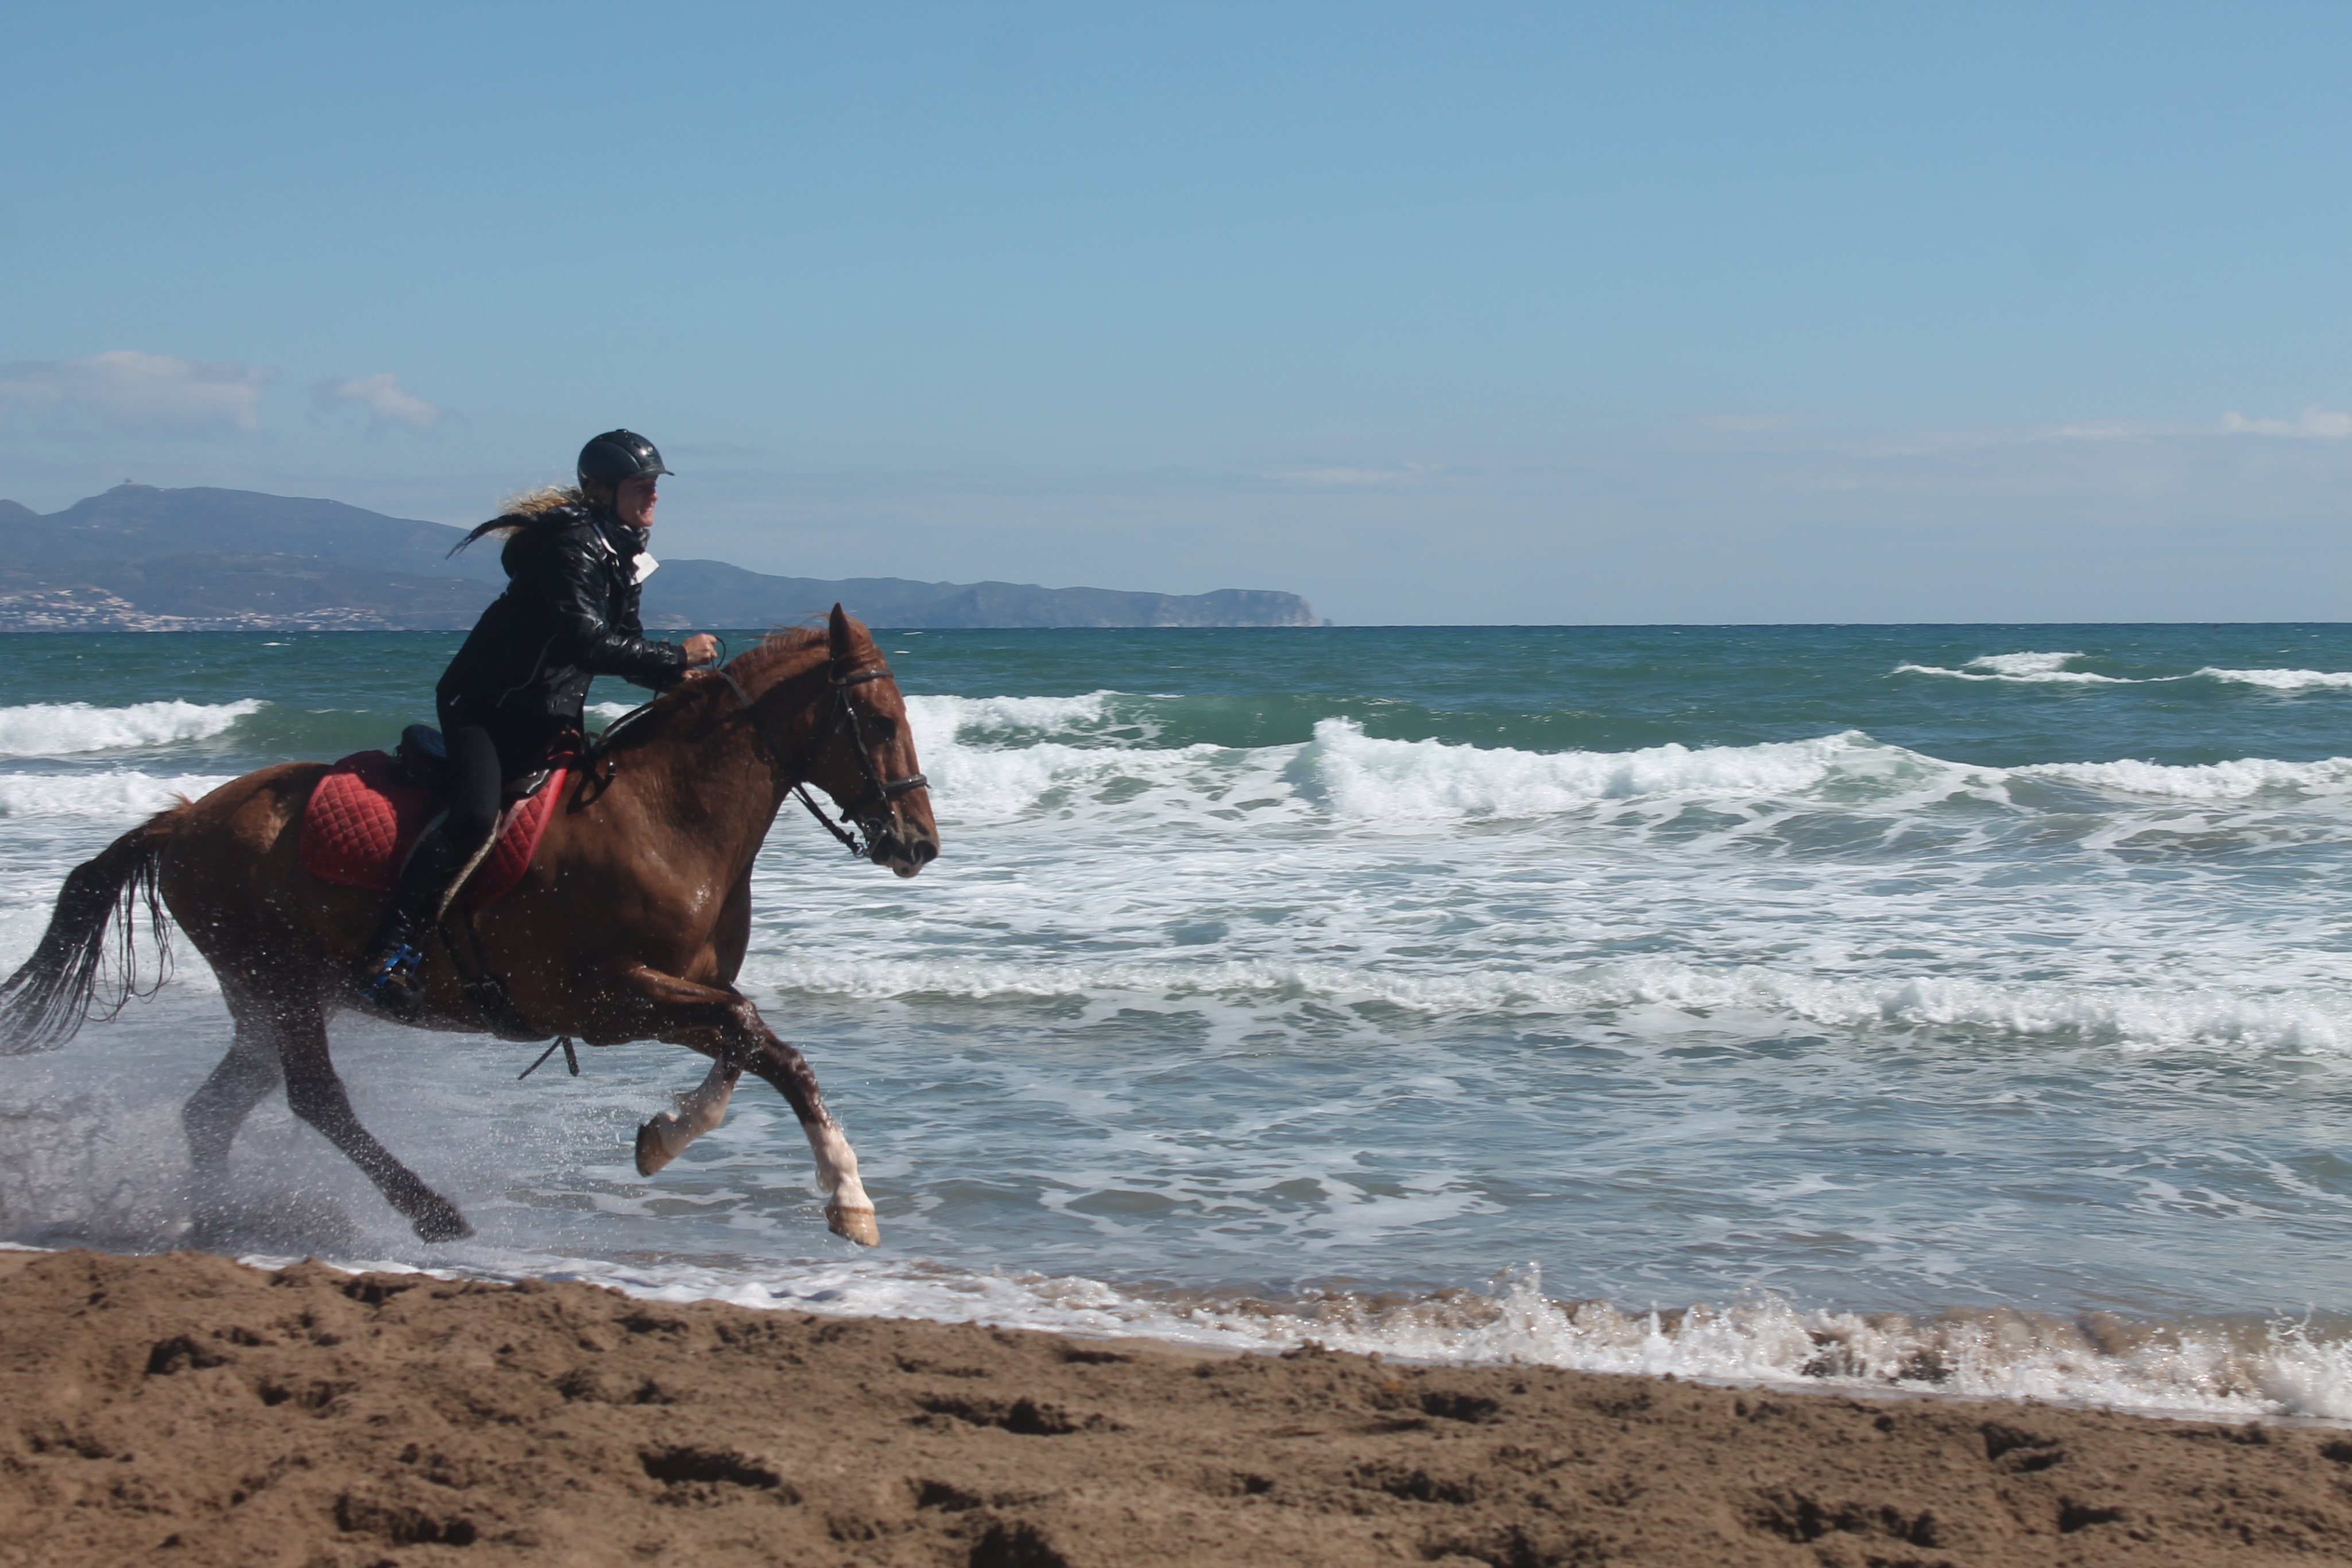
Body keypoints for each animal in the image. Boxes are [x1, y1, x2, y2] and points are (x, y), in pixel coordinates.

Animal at [0, 606, 938, 1248]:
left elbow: (742, 1047)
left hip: (275, 995)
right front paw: (849, 1199)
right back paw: (430, 1210)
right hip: (280, 982)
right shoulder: (606, 1001)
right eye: (880, 721)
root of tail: (184, 818)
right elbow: (765, 1044)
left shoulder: (685, 986)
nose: (919, 842)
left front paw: (661, 1139)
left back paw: (220, 1222)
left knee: (213, 1111)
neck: (668, 815)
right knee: (315, 1097)